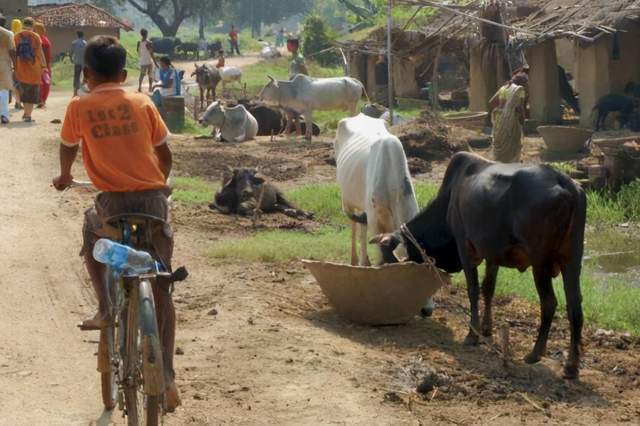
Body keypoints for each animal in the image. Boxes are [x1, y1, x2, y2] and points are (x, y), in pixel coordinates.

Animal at [336, 113, 436, 316]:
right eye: (414, 273)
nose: (427, 310)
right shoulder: (375, 222)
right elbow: (382, 258)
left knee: (361, 227)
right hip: (350, 201)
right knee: (355, 228)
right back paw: (356, 261)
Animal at [372, 153, 588, 380]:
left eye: (390, 263)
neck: (450, 200)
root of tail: (566, 183)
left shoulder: (464, 246)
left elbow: (473, 290)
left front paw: (472, 334)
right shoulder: (493, 254)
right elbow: (488, 289)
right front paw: (486, 329)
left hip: (540, 261)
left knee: (549, 303)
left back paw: (535, 353)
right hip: (572, 259)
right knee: (574, 306)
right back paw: (571, 366)